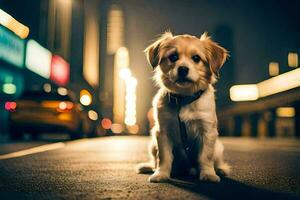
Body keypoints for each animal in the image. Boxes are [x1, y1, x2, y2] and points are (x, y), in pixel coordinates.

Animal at [137, 31, 231, 183]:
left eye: (196, 58)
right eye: (173, 57)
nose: (182, 69)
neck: (184, 99)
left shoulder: (207, 131)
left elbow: (206, 157)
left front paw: (208, 174)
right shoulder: (162, 132)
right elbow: (163, 157)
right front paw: (161, 174)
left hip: (218, 147)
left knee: (216, 161)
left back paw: (220, 170)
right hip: (152, 144)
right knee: (154, 161)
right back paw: (149, 167)